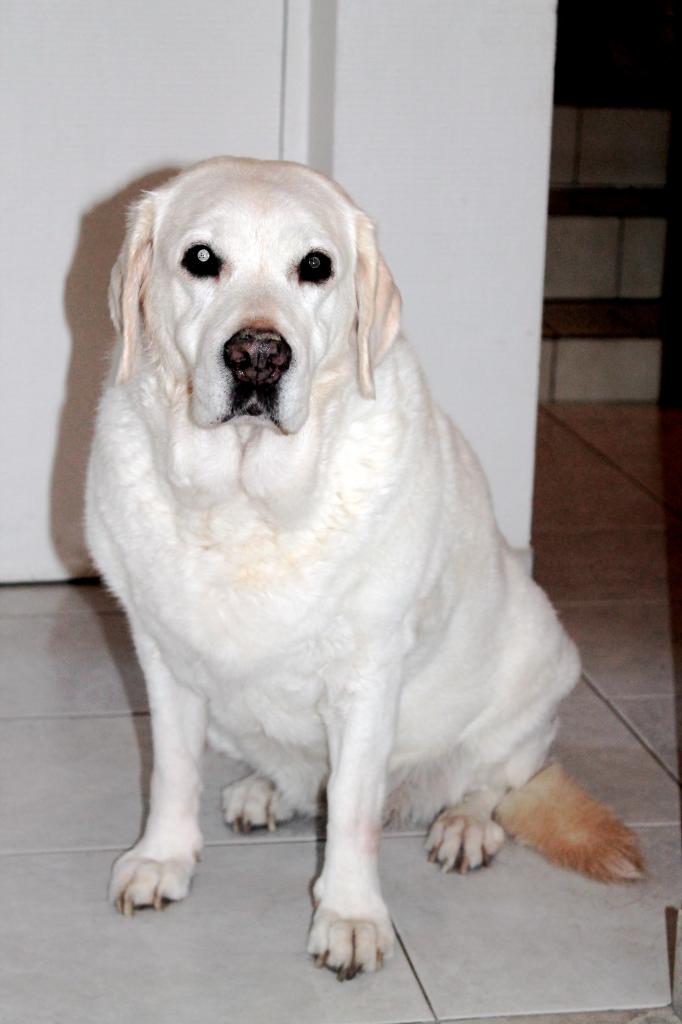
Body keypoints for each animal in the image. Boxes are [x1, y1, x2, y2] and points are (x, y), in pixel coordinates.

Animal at [86, 155, 643, 978]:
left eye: (315, 266)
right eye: (200, 259)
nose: (258, 356)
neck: (244, 501)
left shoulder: (368, 672)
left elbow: (351, 806)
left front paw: (349, 916)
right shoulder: (163, 655)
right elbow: (171, 770)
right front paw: (163, 859)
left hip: (538, 667)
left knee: (496, 777)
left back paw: (464, 826)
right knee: (290, 774)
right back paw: (265, 792)